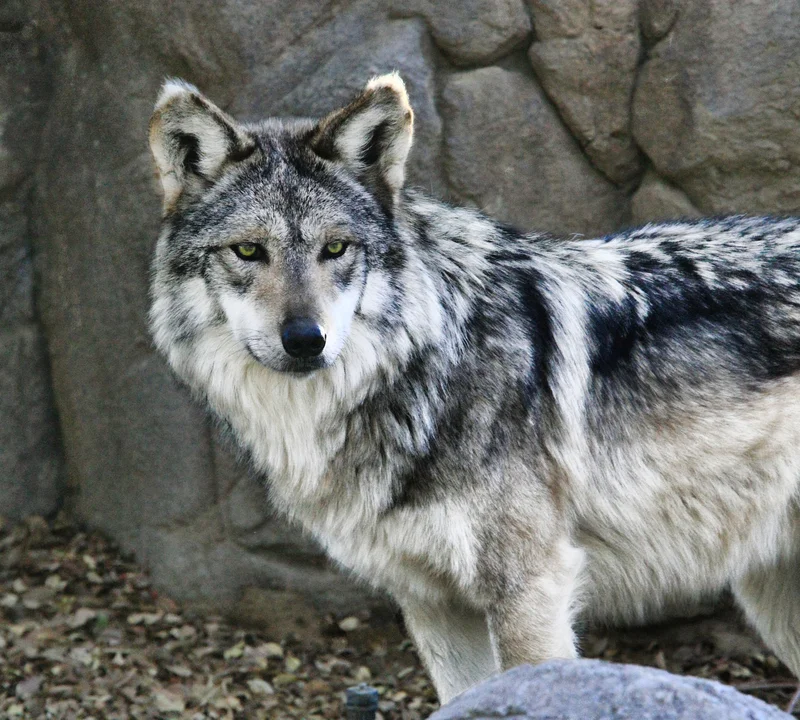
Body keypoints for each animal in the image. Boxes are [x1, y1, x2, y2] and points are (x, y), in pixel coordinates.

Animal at [148, 73, 800, 703]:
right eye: (248, 250)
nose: (307, 340)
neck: (431, 364)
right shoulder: (432, 603)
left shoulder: (530, 587)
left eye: (335, 248)